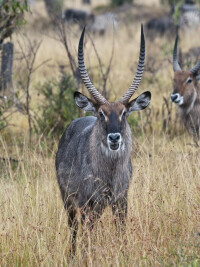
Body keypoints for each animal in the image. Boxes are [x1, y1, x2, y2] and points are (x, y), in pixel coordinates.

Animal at [55, 25, 151, 249]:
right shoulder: (86, 202)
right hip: (69, 200)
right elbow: (86, 235)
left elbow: (121, 231)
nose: (114, 138)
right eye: (101, 113)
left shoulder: (121, 200)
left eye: (124, 113)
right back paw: (72, 254)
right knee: (74, 230)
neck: (110, 172)